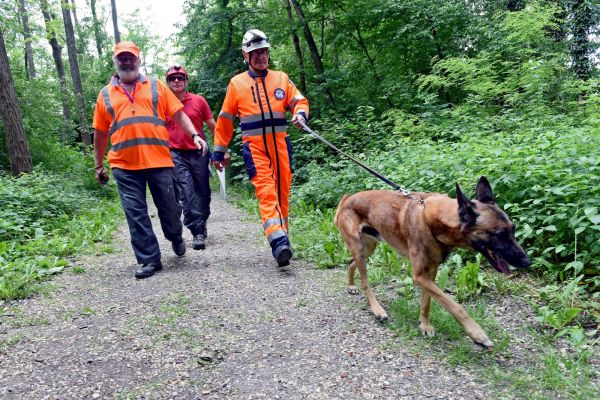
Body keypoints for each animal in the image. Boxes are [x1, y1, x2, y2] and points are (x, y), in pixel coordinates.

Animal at [336, 175, 532, 346]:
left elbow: (427, 302)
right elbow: (454, 305)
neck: (435, 221)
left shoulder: (430, 272)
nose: (527, 262)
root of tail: (347, 199)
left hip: (368, 247)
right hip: (360, 248)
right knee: (365, 282)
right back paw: (377, 309)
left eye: (513, 229)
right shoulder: (419, 276)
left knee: (351, 263)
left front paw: (425, 325)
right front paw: (477, 334)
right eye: (499, 234)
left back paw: (351, 285)